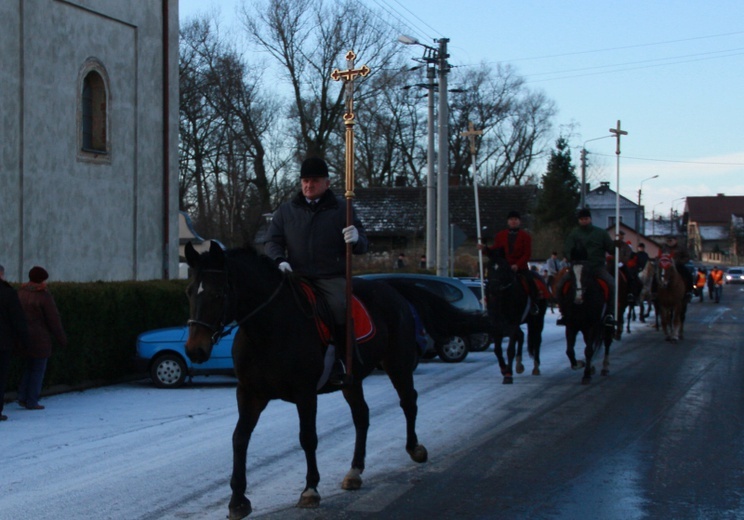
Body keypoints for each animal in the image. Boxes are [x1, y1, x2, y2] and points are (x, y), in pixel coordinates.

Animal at [185, 242, 482, 516]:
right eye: (189, 291)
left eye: (218, 293)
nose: (194, 350)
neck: (268, 329)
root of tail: (390, 288)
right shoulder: (250, 393)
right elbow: (239, 438)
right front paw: (237, 500)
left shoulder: (305, 393)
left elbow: (307, 438)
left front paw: (310, 490)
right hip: (353, 380)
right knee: (362, 416)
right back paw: (355, 471)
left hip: (397, 364)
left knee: (408, 401)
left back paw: (414, 449)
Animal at [482, 250, 548, 384]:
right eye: (489, 268)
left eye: (503, 268)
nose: (493, 288)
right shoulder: (496, 325)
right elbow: (497, 349)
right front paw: (504, 369)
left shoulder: (512, 323)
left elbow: (510, 349)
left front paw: (508, 374)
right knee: (521, 336)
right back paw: (519, 365)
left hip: (538, 320)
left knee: (537, 340)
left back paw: (536, 367)